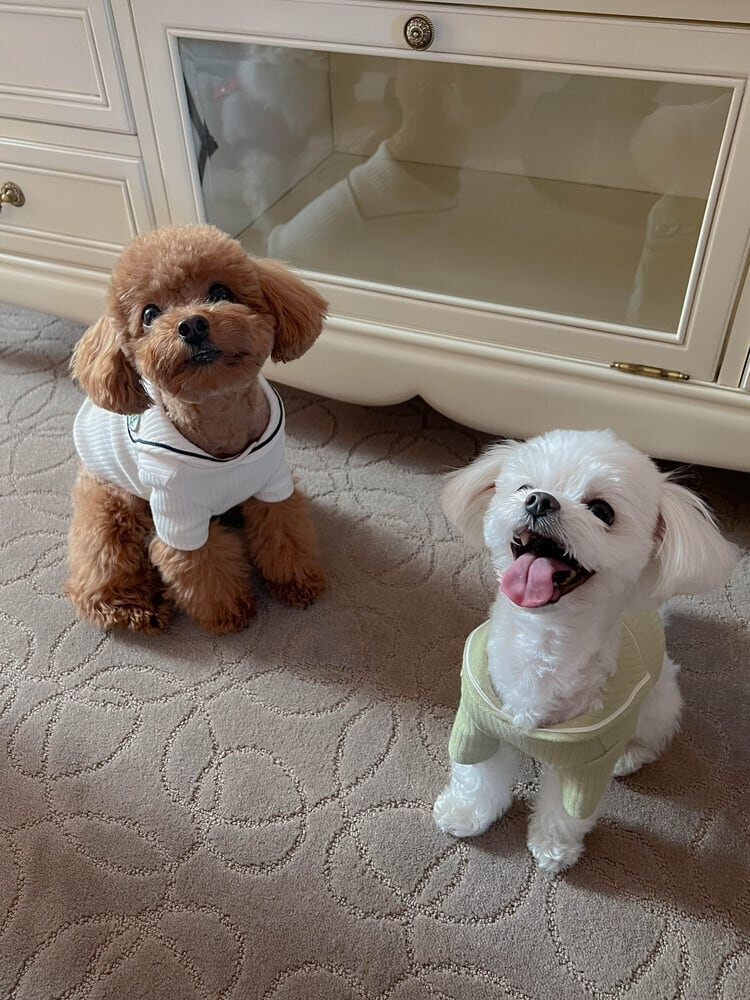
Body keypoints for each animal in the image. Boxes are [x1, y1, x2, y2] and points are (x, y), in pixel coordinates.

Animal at [65, 223, 328, 634]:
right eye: (150, 314)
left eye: (220, 292)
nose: (191, 324)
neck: (221, 423)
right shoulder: (178, 515)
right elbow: (201, 565)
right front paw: (230, 612)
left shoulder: (272, 484)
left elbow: (285, 531)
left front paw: (296, 582)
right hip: (112, 506)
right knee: (98, 565)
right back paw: (134, 607)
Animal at [433, 428, 738, 873]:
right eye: (524, 487)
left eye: (601, 510)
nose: (540, 500)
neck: (540, 642)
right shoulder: (478, 724)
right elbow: (479, 774)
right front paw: (466, 813)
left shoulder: (586, 764)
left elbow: (566, 808)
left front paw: (553, 847)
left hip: (658, 702)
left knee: (653, 734)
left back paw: (631, 755)